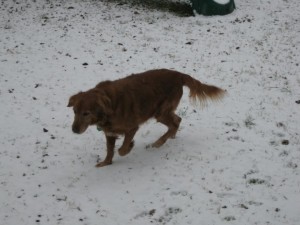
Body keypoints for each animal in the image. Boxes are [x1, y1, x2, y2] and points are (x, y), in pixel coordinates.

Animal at [67, 68, 225, 167]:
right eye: (74, 111)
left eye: (86, 113)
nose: (74, 130)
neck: (110, 105)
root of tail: (178, 74)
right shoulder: (109, 133)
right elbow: (110, 150)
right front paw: (106, 163)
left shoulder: (132, 127)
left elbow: (122, 149)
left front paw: (129, 147)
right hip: (162, 112)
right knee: (177, 120)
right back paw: (170, 137)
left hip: (160, 112)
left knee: (174, 123)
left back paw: (158, 143)